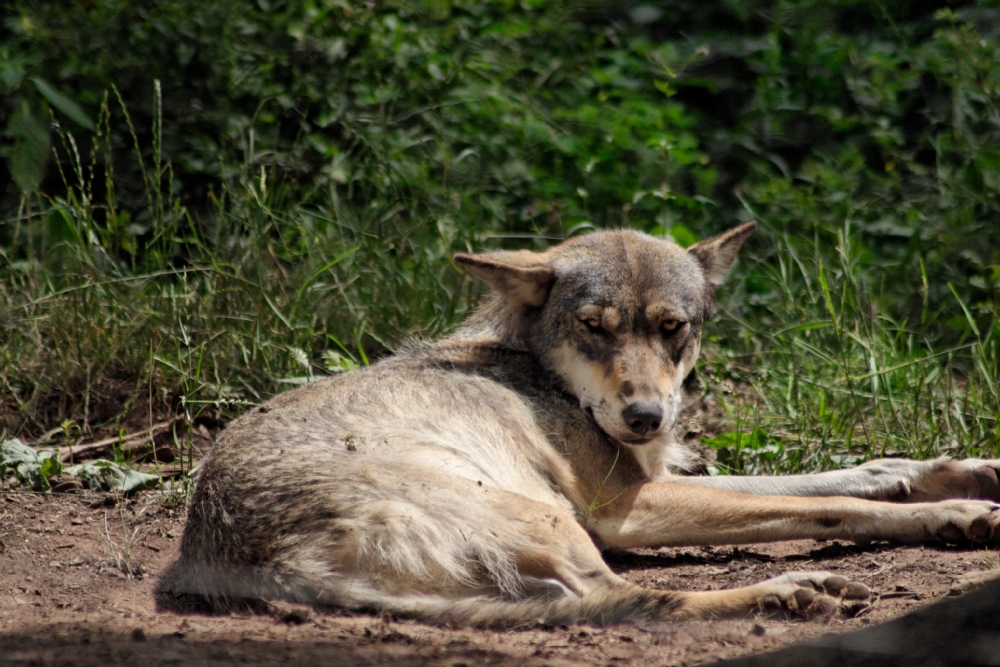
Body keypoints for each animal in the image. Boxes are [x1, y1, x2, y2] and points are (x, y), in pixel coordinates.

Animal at [158, 224, 1000, 628]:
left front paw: (956, 476)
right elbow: (829, 503)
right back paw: (791, 590)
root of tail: (249, 556)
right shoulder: (631, 507)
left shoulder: (660, 475)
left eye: (673, 329)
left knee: (591, 601)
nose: (645, 416)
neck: (548, 376)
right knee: (635, 598)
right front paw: (957, 512)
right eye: (595, 327)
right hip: (556, 520)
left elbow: (851, 473)